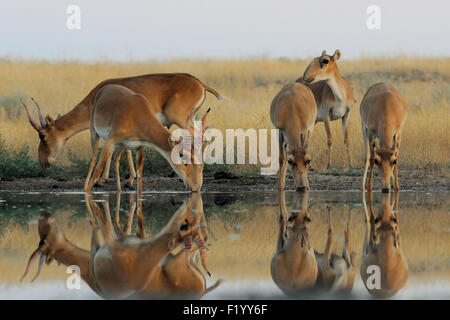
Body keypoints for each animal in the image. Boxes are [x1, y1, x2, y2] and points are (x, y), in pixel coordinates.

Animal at [22, 71, 223, 189]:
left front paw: (110, 179)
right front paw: (125, 179)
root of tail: (201, 84)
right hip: (191, 118)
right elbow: (124, 151)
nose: (43, 162)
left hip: (182, 120)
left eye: (42, 135)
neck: (93, 98)